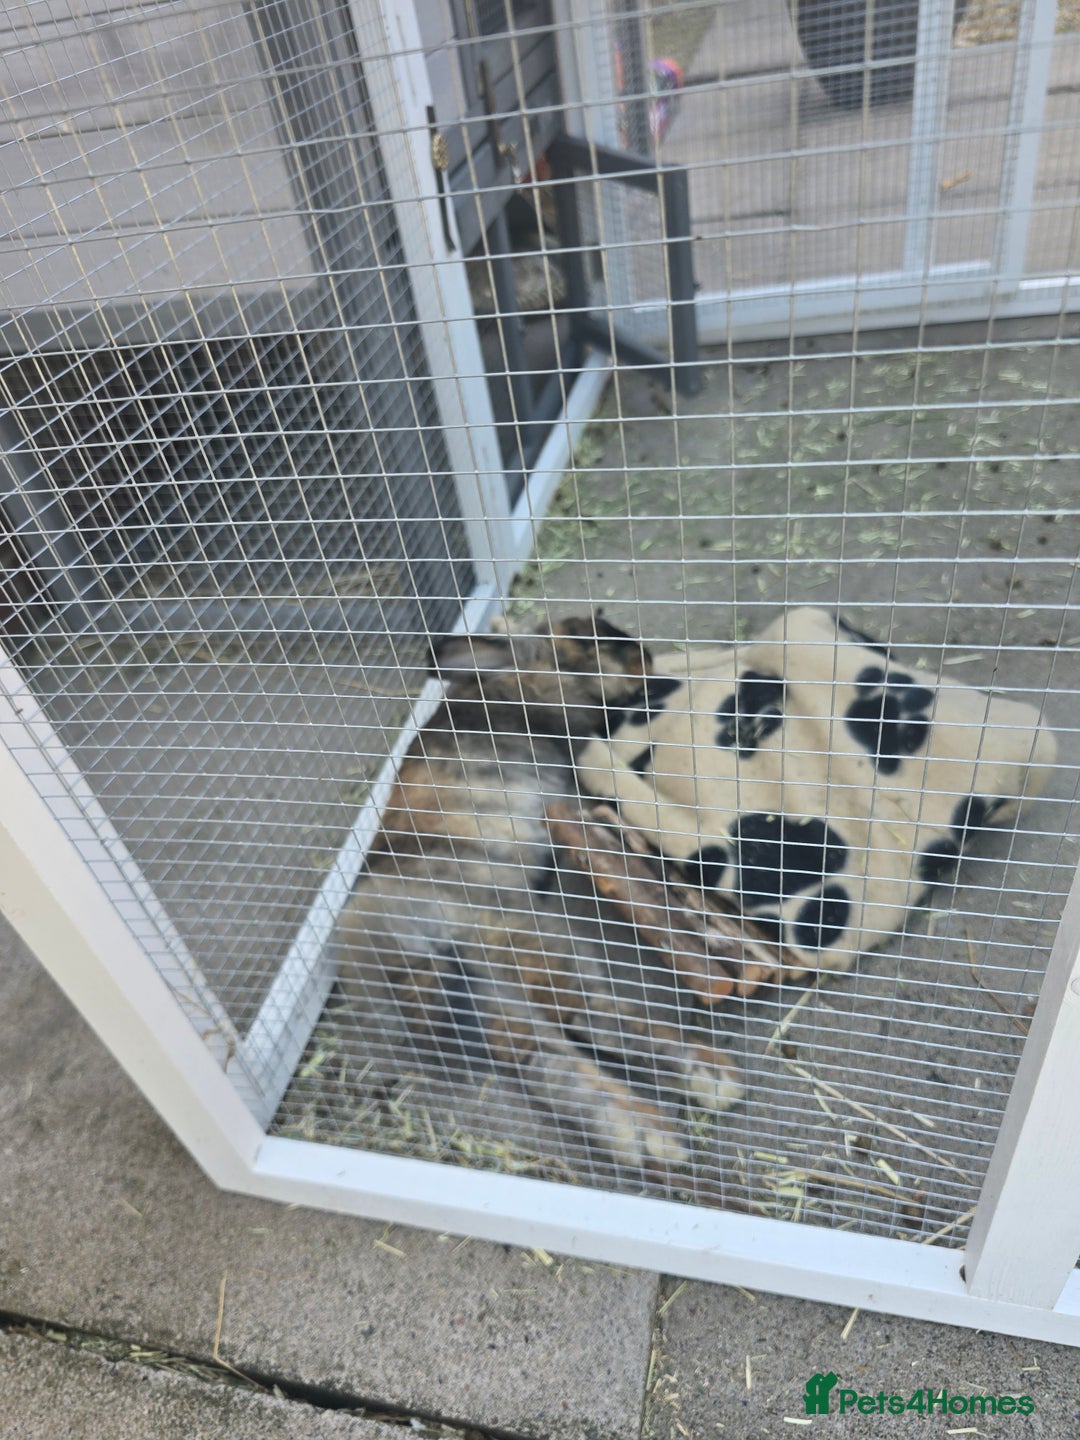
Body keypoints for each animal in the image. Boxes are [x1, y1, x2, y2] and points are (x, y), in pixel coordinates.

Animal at [333, 614, 743, 1174]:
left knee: (544, 1057)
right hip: (526, 941)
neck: (517, 686)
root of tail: (386, 951)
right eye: (589, 639)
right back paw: (704, 1083)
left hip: (493, 990)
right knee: (592, 1017)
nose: (645, 657)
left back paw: (644, 1137)